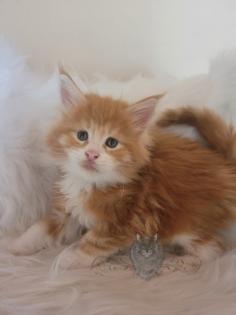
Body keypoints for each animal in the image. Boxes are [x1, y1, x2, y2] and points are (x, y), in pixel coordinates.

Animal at [9, 69, 236, 270]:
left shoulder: (127, 223)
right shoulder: (66, 210)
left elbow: (93, 243)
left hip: (184, 221)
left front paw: (68, 258)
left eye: (111, 143)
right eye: (82, 135)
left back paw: (182, 261)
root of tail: (225, 165)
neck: (90, 184)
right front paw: (17, 245)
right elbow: (41, 228)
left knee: (215, 248)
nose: (91, 154)